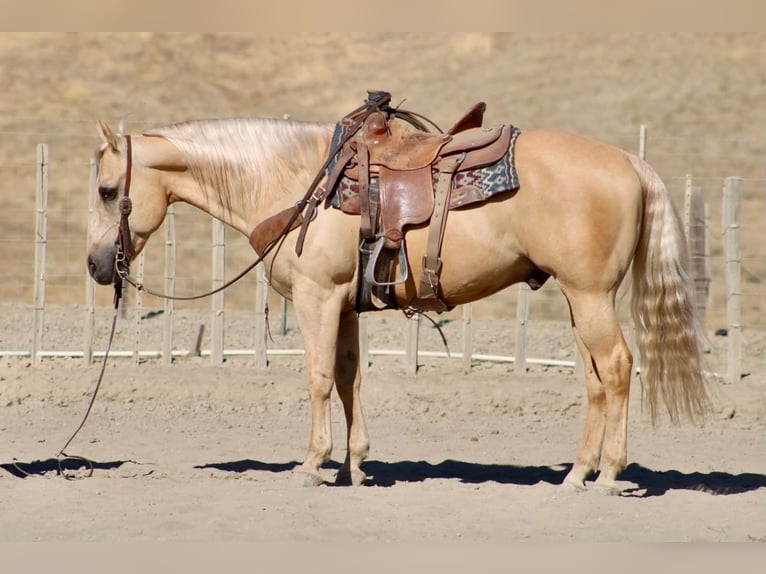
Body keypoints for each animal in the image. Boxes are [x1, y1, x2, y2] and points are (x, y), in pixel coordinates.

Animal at [86, 108, 711, 494]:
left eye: (108, 190)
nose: (95, 265)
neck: (295, 181)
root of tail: (629, 161)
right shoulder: (343, 305)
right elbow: (348, 378)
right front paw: (355, 467)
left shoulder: (317, 298)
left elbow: (317, 377)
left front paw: (312, 465)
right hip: (583, 300)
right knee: (596, 379)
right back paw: (577, 473)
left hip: (591, 296)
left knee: (618, 367)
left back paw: (607, 475)